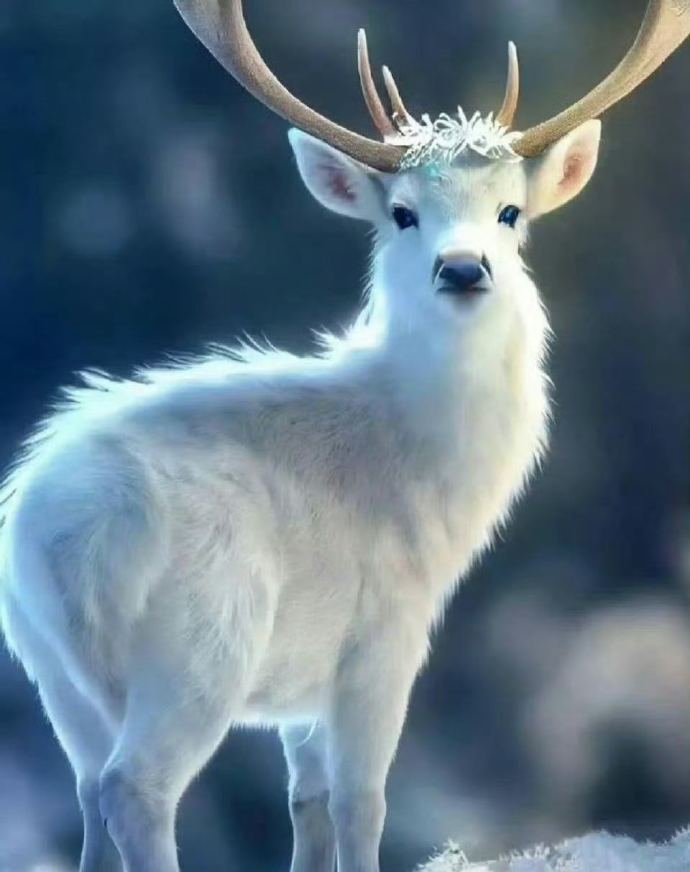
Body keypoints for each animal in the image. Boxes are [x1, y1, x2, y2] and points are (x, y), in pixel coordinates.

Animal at [0, 1, 688, 871]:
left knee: (89, 796)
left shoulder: (302, 684)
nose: (463, 269)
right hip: (198, 648)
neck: (420, 475)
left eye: (511, 212)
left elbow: (310, 803)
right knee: (135, 790)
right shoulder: (382, 637)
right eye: (402, 213)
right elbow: (362, 805)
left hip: (53, 677)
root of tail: (54, 535)